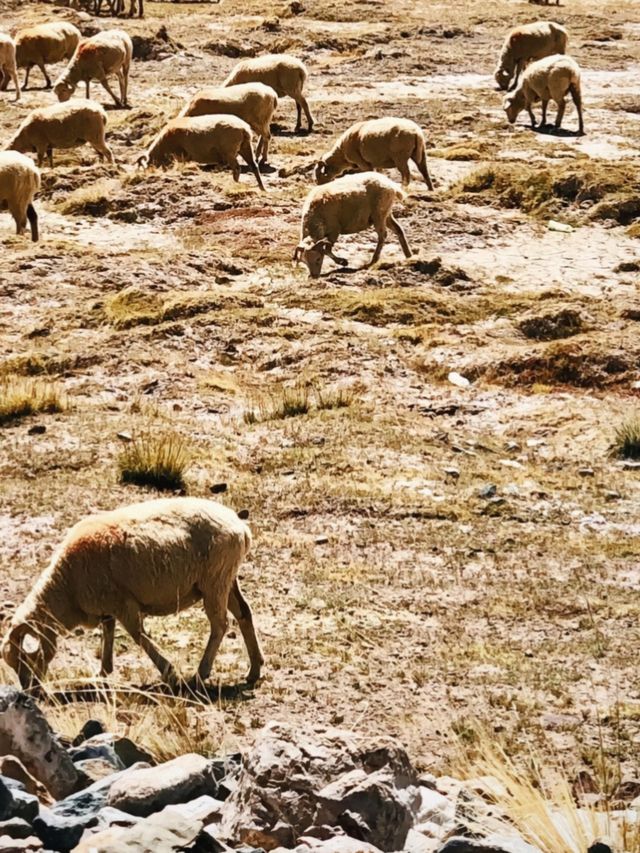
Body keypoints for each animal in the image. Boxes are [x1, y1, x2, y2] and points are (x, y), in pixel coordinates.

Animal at [0, 496, 264, 688]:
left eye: (25, 658)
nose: (29, 689)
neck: (66, 588)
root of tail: (241, 528)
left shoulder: (124, 604)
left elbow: (138, 636)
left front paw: (169, 672)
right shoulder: (107, 607)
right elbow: (108, 634)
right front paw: (103, 671)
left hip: (214, 581)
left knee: (220, 624)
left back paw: (201, 674)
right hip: (227, 579)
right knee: (244, 614)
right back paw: (254, 669)